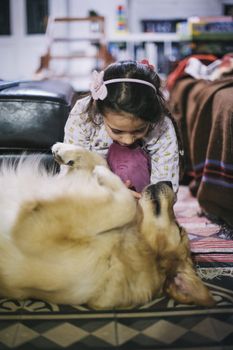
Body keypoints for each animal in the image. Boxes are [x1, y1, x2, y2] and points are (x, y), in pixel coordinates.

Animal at [0, 142, 215, 308]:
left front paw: (104, 174)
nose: (169, 183)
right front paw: (66, 151)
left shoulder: (32, 233)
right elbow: (101, 161)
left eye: (179, 228)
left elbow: (126, 204)